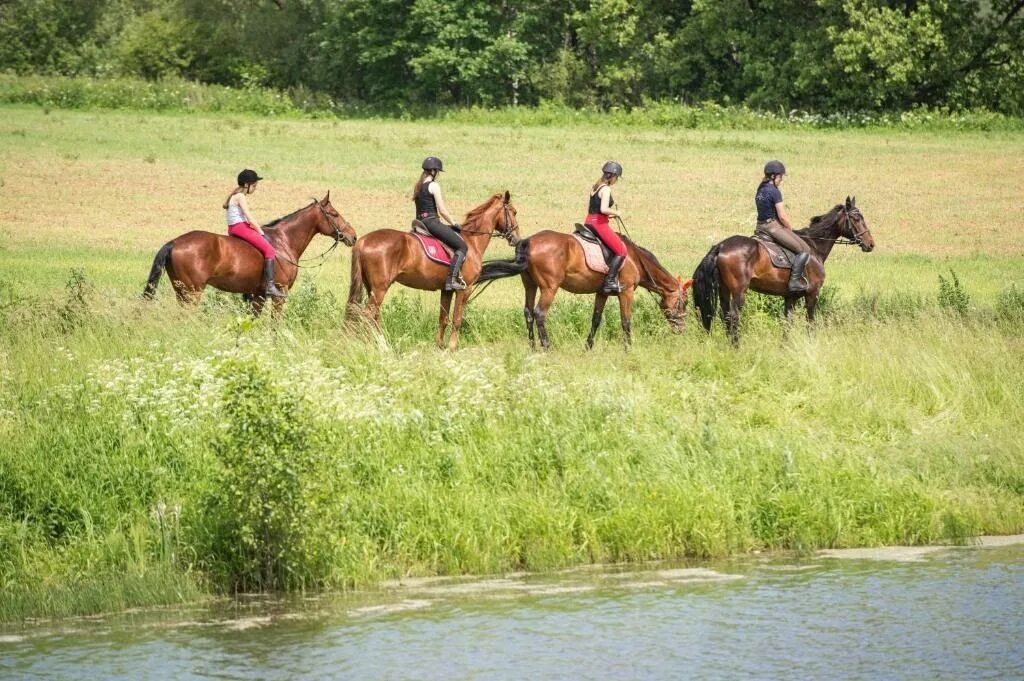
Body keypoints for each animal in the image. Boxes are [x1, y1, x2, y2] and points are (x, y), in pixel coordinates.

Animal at [140, 193, 356, 315]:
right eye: (335, 214)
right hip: (192, 292)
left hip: (182, 291)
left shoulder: (259, 295)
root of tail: (174, 242)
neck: (284, 240)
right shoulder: (279, 294)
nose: (353, 236)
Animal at [346, 191, 520, 350]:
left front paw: (440, 345)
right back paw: (375, 346)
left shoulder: (447, 290)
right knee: (368, 315)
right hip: (380, 288)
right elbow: (457, 319)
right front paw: (452, 346)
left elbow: (443, 318)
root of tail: (362, 241)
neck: (472, 241)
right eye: (514, 211)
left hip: (371, 288)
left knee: (372, 315)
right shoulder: (464, 289)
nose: (516, 239)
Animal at [477, 232, 688, 352]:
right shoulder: (626, 292)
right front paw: (629, 349)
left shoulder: (602, 293)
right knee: (539, 313)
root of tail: (528, 241)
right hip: (549, 287)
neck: (635, 259)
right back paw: (547, 348)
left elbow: (596, 320)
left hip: (530, 285)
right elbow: (626, 321)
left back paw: (533, 348)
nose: (681, 329)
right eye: (684, 303)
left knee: (528, 313)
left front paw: (587, 348)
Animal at [692, 196, 876, 346]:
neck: (814, 247)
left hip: (724, 289)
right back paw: (737, 346)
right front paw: (811, 345)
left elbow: (788, 322)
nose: (870, 244)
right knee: (734, 316)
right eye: (856, 218)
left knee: (725, 315)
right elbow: (810, 321)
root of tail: (721, 245)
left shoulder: (790, 297)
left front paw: (785, 347)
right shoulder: (813, 294)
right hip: (739, 291)